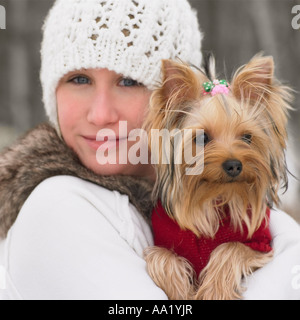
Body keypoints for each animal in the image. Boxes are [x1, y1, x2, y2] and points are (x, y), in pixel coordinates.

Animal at [143, 54, 292, 300]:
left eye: (247, 137)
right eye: (203, 138)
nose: (234, 165)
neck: (214, 196)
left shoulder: (259, 245)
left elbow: (230, 248)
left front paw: (214, 292)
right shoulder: (165, 242)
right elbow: (162, 258)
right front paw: (181, 293)